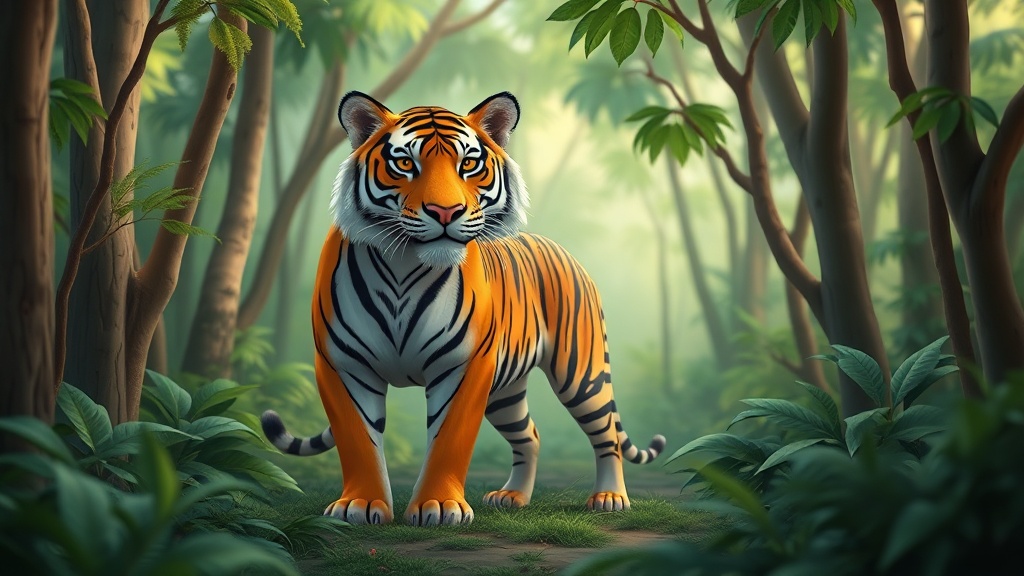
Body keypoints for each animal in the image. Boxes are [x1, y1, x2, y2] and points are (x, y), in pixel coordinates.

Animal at [260, 91, 666, 526]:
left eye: (469, 164)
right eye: (405, 163)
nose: (445, 212)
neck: (404, 267)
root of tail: (563, 250)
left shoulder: (466, 366)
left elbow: (449, 438)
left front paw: (438, 506)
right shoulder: (343, 364)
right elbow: (358, 438)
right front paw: (360, 505)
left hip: (581, 373)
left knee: (605, 432)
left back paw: (609, 497)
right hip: (505, 391)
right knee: (530, 435)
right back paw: (513, 496)